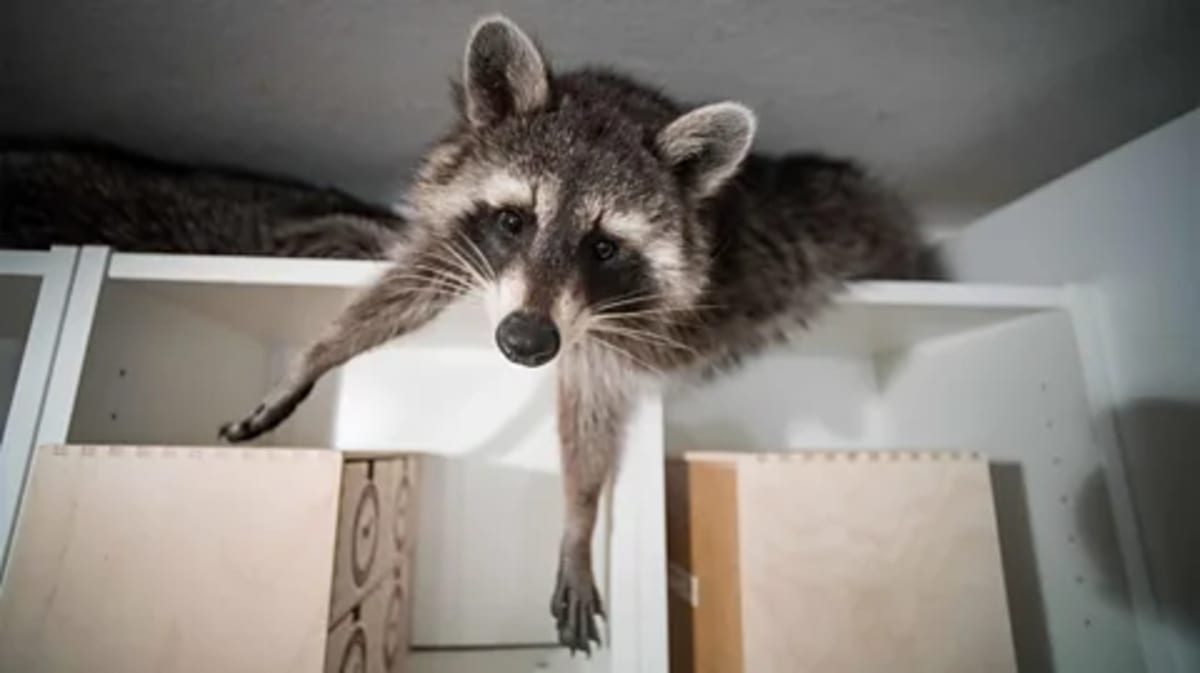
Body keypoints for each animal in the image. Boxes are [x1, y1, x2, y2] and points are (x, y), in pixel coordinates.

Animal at [219, 14, 924, 653]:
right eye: (513, 219)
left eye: (604, 247)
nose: (526, 344)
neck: (612, 101)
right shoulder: (465, 245)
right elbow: (410, 287)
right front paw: (314, 359)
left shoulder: (607, 332)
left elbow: (589, 416)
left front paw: (579, 521)